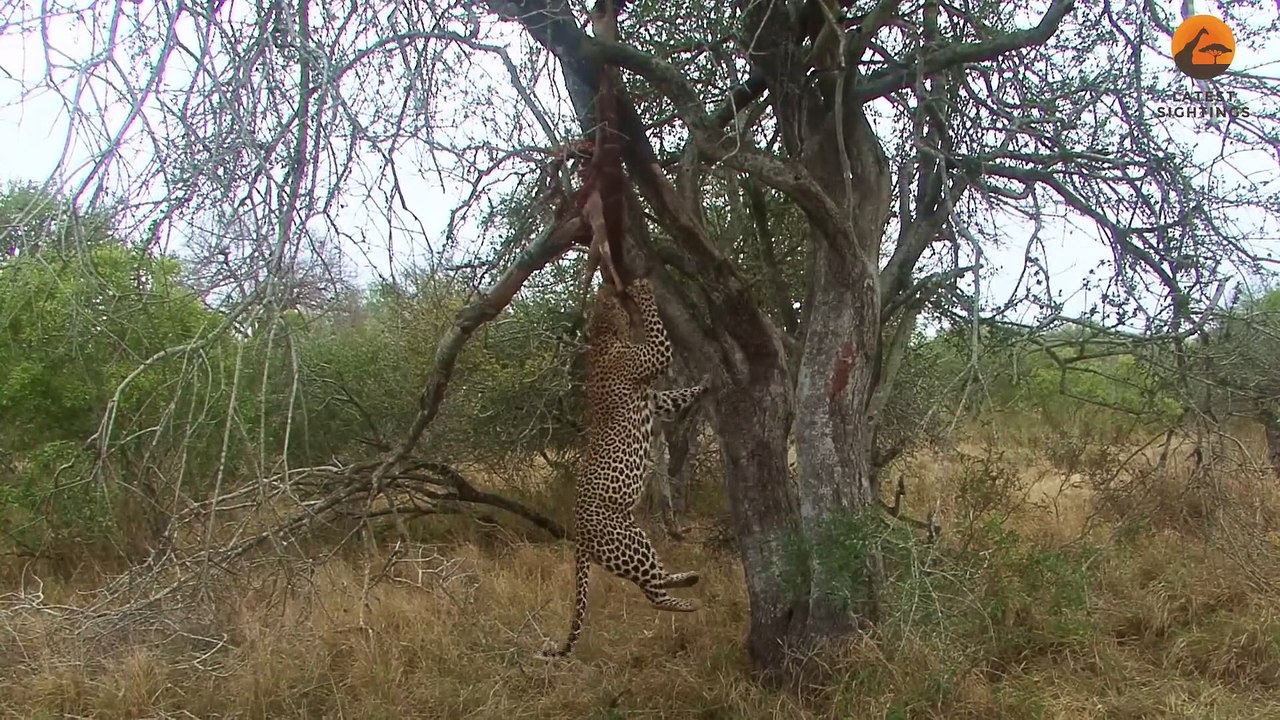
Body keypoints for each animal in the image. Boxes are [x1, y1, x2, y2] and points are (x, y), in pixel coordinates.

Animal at [536, 277, 709, 661]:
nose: (609, 284)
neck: (604, 338)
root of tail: (580, 538)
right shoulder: (654, 357)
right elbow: (658, 331)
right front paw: (644, 288)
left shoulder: (657, 400)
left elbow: (678, 395)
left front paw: (705, 384)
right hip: (628, 542)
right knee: (651, 586)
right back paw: (688, 592)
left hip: (634, 539)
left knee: (652, 586)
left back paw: (687, 588)